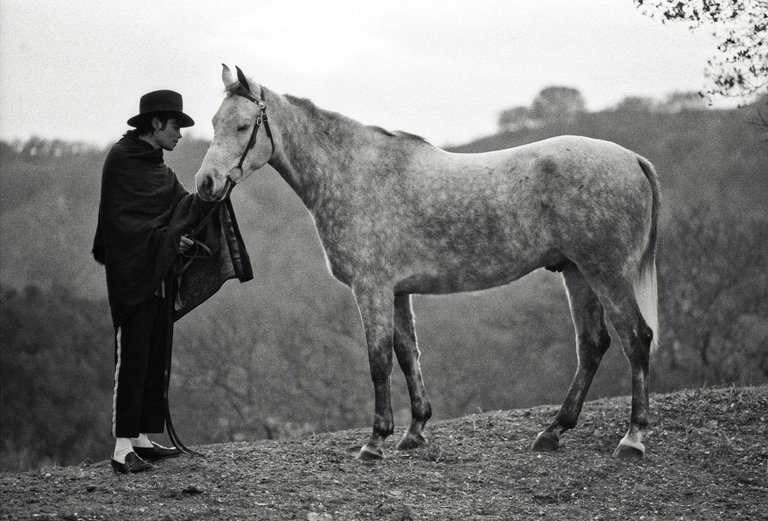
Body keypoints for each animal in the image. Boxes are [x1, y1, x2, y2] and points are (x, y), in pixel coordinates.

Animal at [195, 64, 660, 461]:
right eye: (214, 123)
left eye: (243, 126)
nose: (206, 184)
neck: (354, 175)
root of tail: (633, 159)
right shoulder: (398, 291)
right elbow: (407, 355)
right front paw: (414, 431)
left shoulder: (372, 288)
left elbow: (379, 360)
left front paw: (374, 442)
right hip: (577, 272)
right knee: (592, 345)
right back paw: (553, 431)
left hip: (606, 272)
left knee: (636, 339)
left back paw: (632, 439)